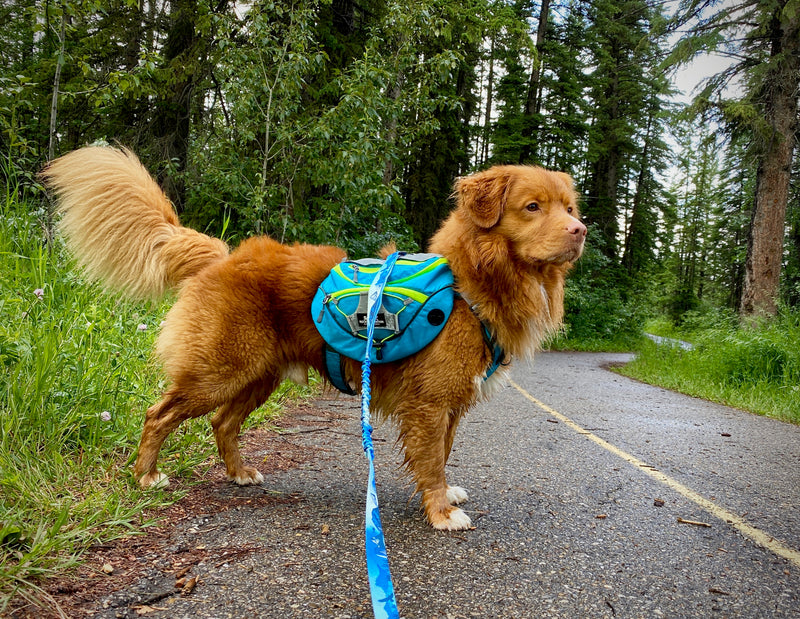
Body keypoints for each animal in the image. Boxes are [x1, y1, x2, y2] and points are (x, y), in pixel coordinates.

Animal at [40, 148, 584, 532]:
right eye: (532, 207)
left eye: (569, 207)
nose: (580, 230)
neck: (472, 284)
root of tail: (221, 255)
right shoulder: (430, 404)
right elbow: (431, 461)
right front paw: (441, 512)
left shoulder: (451, 404)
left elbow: (443, 456)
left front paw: (445, 496)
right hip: (218, 371)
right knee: (159, 414)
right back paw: (147, 476)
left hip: (257, 376)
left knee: (222, 422)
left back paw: (239, 473)